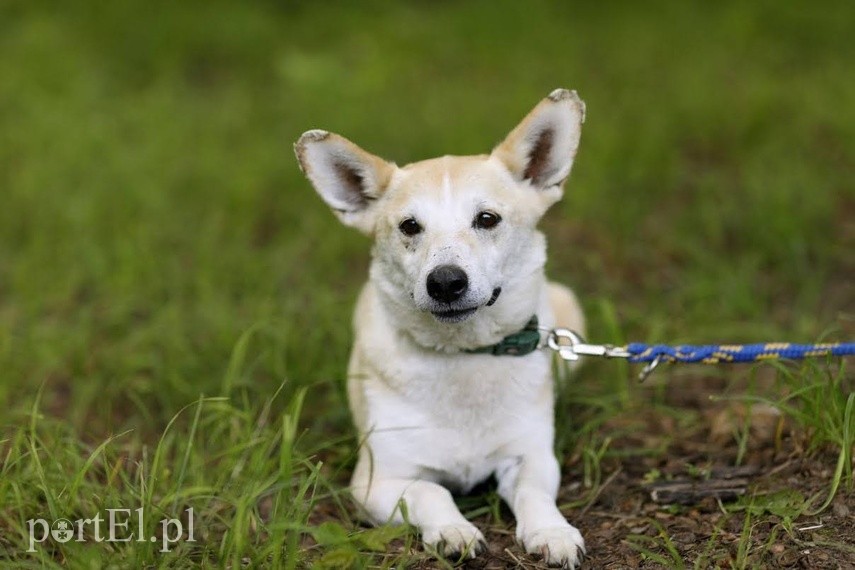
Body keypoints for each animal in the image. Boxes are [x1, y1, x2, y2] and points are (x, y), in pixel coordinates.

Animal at [296, 87, 588, 564]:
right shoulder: (377, 482)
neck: (462, 357)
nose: (446, 282)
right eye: (409, 226)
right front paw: (455, 530)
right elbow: (433, 492)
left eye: (487, 219)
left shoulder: (533, 457)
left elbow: (534, 495)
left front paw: (552, 532)